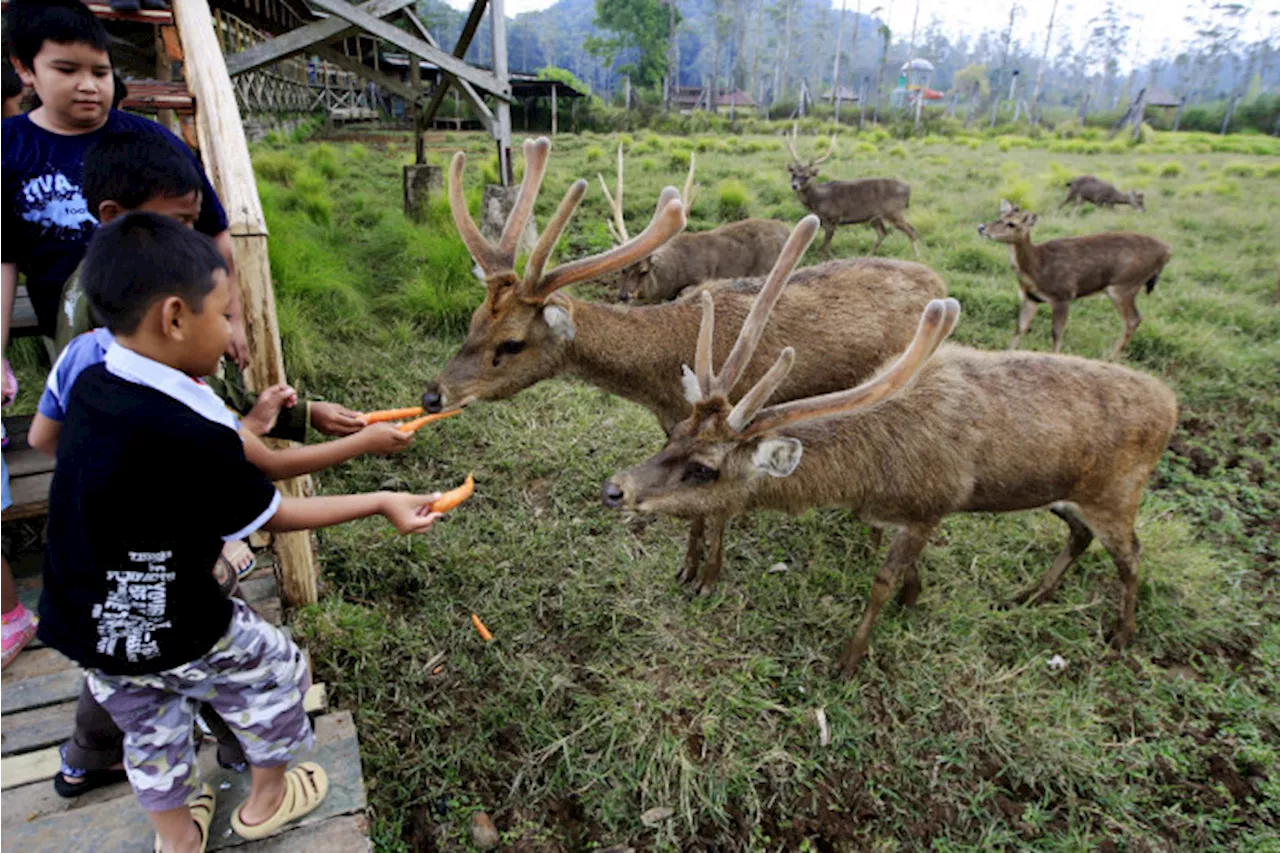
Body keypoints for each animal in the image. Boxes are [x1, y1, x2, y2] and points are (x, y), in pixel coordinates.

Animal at [599, 146, 788, 302]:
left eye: (644, 271)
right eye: (622, 270)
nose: (624, 296)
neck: (673, 275)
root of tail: (787, 230)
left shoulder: (702, 278)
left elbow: (685, 292)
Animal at [601, 216, 1177, 676]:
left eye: (705, 468)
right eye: (675, 433)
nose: (615, 488)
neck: (870, 475)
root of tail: (1171, 404)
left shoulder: (933, 506)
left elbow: (881, 581)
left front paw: (850, 660)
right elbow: (905, 572)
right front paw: (912, 600)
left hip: (1119, 493)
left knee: (1133, 555)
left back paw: (1120, 637)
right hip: (1067, 494)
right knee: (1079, 535)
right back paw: (1031, 594)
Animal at [783, 122, 916, 256]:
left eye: (806, 176)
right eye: (793, 174)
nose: (794, 186)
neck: (819, 202)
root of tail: (908, 189)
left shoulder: (833, 219)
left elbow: (823, 248)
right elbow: (823, 247)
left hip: (894, 211)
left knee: (911, 230)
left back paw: (916, 256)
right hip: (876, 217)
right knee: (883, 233)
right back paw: (868, 255)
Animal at [977, 197, 1172, 356]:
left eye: (1012, 223)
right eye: (1000, 215)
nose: (982, 227)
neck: (1038, 267)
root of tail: (1167, 252)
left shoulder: (1064, 295)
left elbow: (1056, 333)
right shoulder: (1030, 297)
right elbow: (1020, 328)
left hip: (1125, 285)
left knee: (1133, 319)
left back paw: (1109, 359)